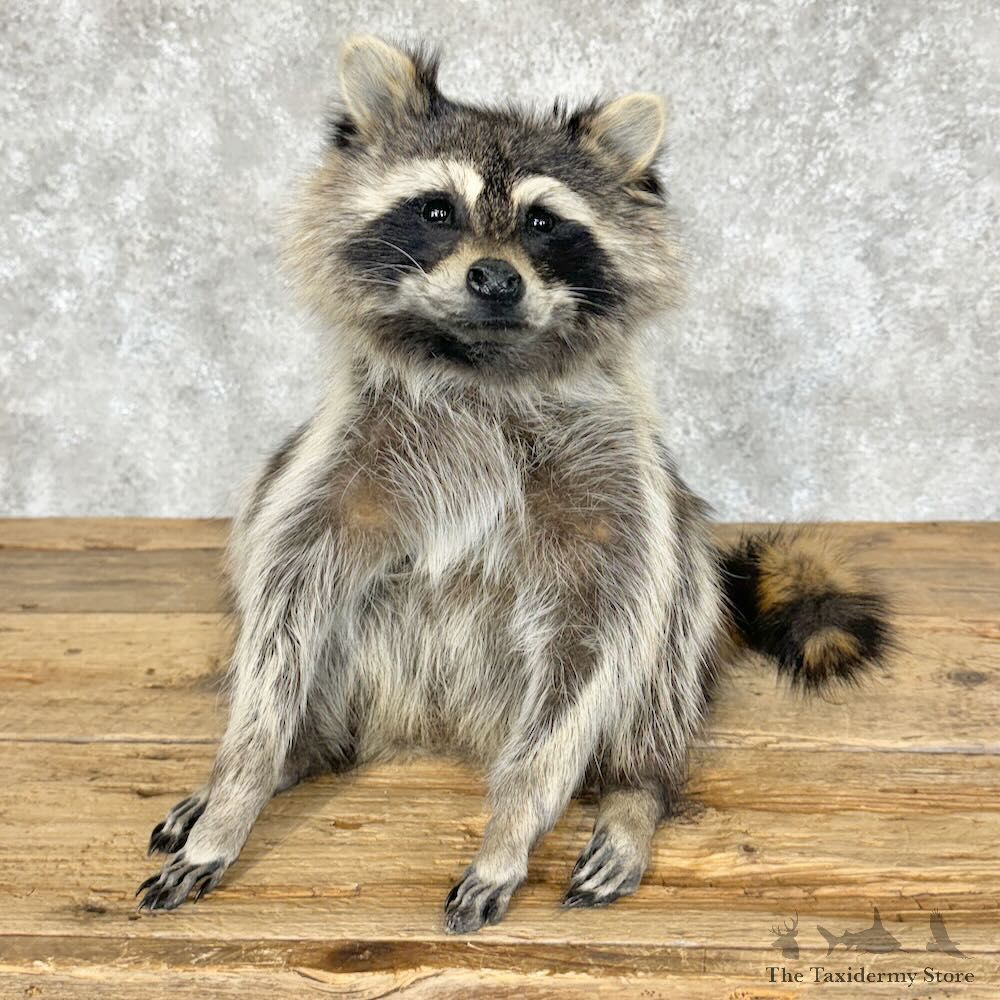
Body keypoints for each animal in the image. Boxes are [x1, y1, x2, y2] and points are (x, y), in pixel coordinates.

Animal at [136, 36, 891, 932]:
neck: (480, 364)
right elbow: (283, 614)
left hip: (675, 566)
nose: (496, 278)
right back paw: (298, 754)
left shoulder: (613, 487)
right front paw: (241, 785)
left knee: (665, 649)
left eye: (543, 222)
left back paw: (635, 790)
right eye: (436, 211)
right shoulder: (337, 464)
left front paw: (514, 826)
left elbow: (599, 641)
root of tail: (430, 723)